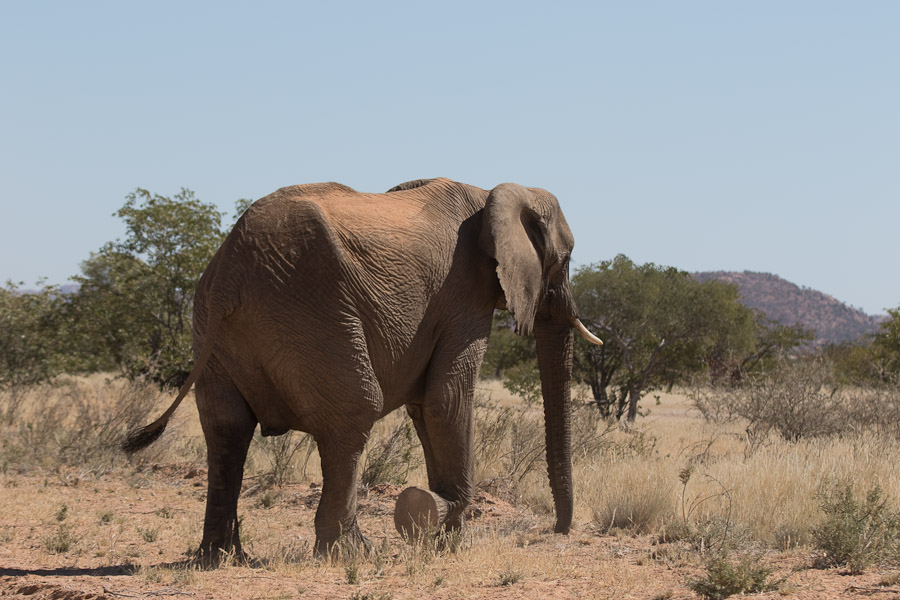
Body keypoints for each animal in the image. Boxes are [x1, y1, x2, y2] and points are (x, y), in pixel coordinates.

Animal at [123, 177, 600, 564]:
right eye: (566, 259)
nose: (558, 530)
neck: (491, 193)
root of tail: (228, 270)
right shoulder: (464, 296)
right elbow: (446, 401)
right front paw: (443, 530)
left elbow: (424, 407)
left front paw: (442, 535)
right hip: (312, 309)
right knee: (352, 416)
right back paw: (352, 553)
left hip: (213, 328)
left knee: (227, 432)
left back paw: (221, 558)